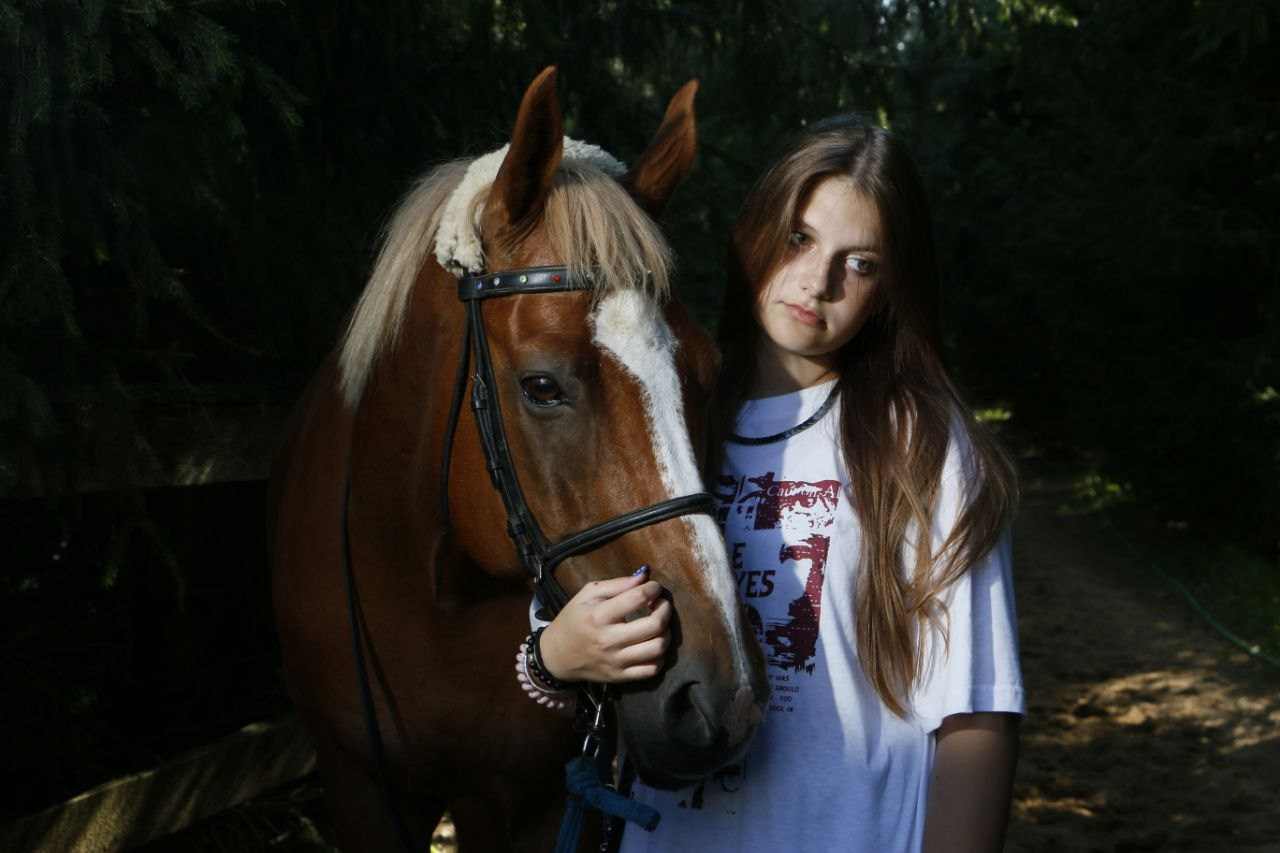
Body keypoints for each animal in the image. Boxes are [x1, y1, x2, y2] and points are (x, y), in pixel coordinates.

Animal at [269, 67, 769, 851]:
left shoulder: (534, 801)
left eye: (708, 370)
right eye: (541, 386)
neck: (429, 593)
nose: (722, 697)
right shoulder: (358, 786)